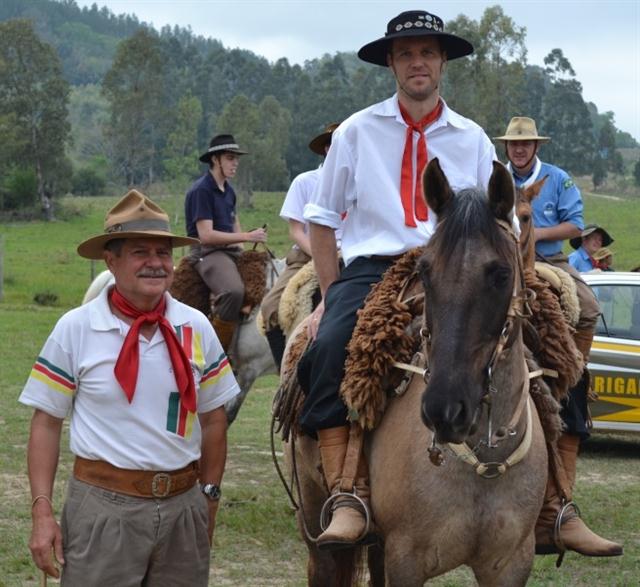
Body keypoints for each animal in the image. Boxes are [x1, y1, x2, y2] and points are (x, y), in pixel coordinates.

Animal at [288, 158, 548, 584]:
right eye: (425, 271)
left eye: (501, 274)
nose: (445, 408)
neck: (485, 462)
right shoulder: (407, 559)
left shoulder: (511, 564)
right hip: (316, 519)